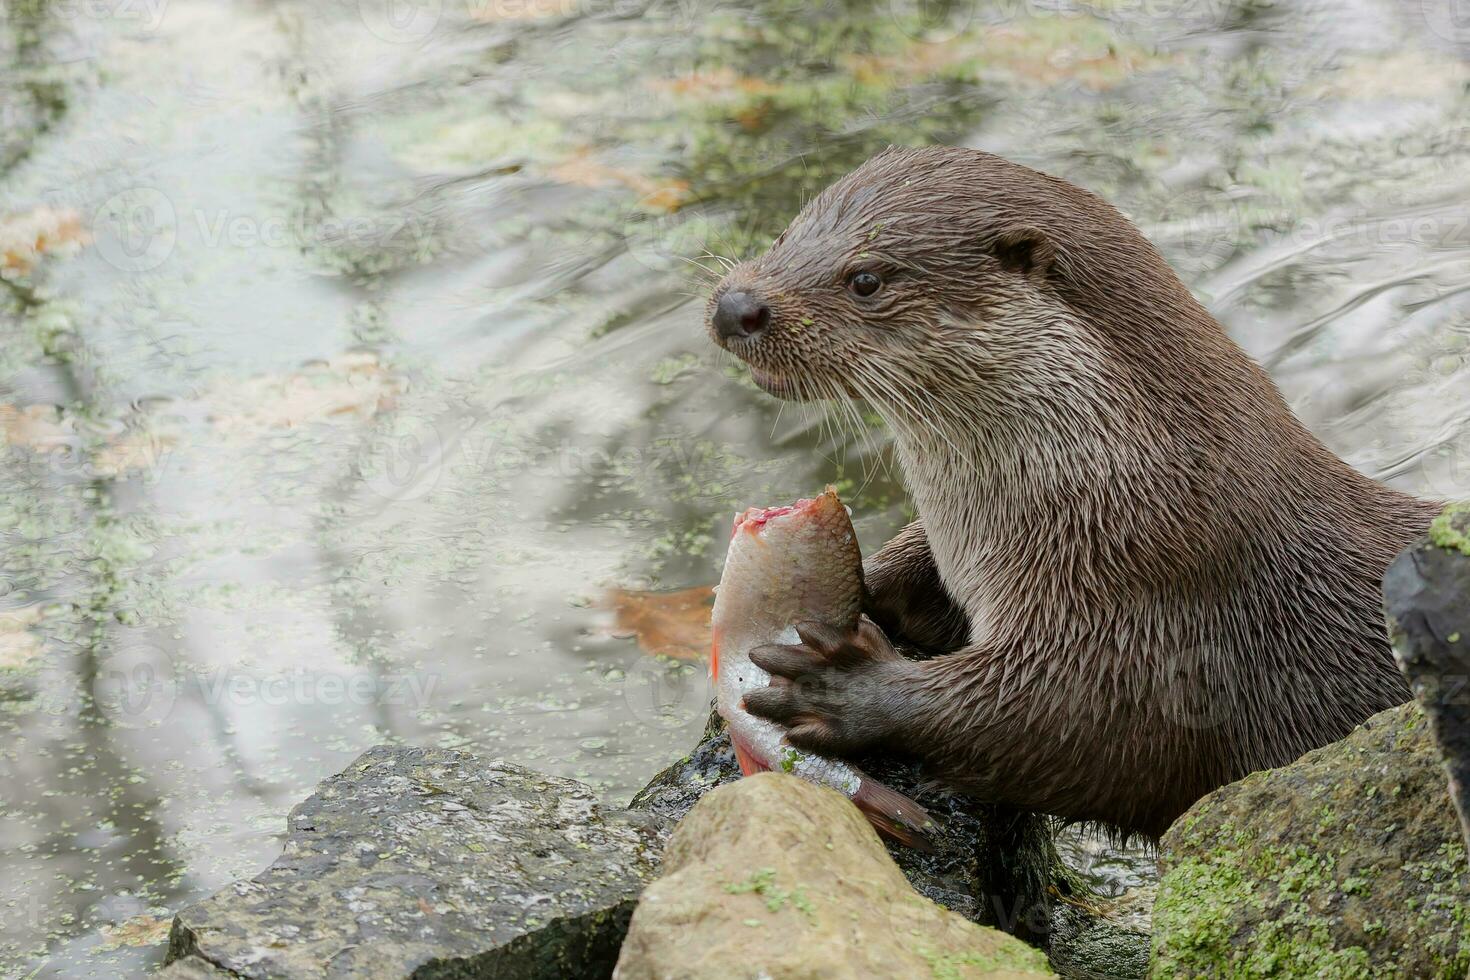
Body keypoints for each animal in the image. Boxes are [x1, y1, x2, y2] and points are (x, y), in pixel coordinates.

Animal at [705, 145, 1440, 834]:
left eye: (865, 279)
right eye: (785, 232)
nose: (736, 306)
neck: (1138, 494)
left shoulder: (1151, 617)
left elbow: (1062, 725)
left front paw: (843, 687)